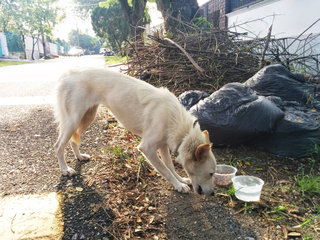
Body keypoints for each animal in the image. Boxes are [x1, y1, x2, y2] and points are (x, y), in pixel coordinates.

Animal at [53, 69, 216, 195]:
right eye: (211, 174)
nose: (213, 194)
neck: (176, 121)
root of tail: (67, 75)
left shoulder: (163, 146)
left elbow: (170, 166)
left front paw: (181, 180)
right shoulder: (147, 148)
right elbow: (165, 170)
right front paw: (178, 185)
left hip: (86, 117)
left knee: (73, 140)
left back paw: (79, 156)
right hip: (73, 120)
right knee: (58, 146)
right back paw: (65, 169)